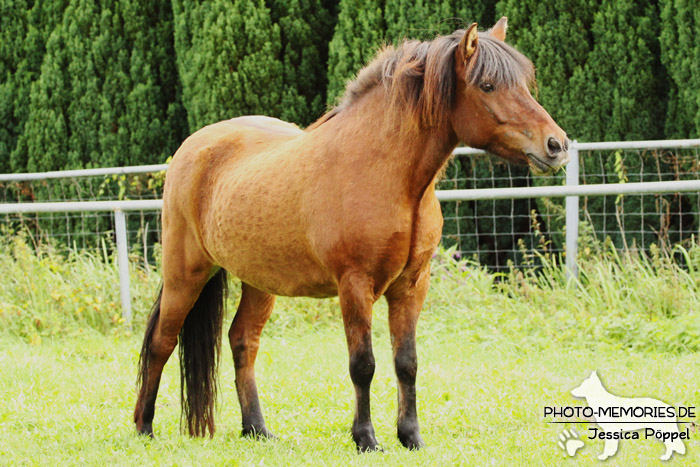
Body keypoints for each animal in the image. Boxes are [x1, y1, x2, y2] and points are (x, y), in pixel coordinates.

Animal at [134, 18, 572, 454]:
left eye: (524, 84)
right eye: (488, 85)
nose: (557, 145)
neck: (383, 171)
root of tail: (194, 147)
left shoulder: (412, 286)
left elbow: (407, 363)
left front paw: (410, 436)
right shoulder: (355, 284)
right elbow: (363, 365)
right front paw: (366, 438)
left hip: (259, 282)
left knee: (243, 341)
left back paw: (257, 429)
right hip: (185, 274)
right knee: (161, 342)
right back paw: (144, 427)